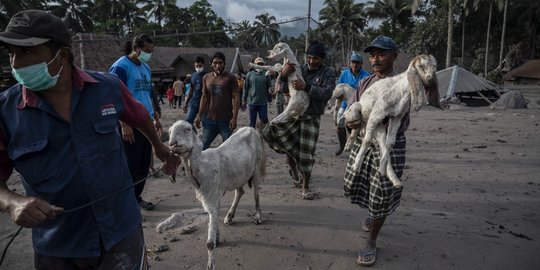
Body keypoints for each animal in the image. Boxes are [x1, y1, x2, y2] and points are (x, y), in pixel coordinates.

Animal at [348, 54, 440, 188]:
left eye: (435, 67)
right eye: (421, 66)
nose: (430, 79)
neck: (401, 91)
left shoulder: (397, 117)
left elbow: (390, 143)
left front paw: (381, 169)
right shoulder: (376, 113)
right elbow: (367, 140)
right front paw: (356, 165)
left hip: (379, 128)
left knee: (381, 143)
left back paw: (393, 178)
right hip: (355, 110)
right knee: (358, 129)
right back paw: (349, 143)